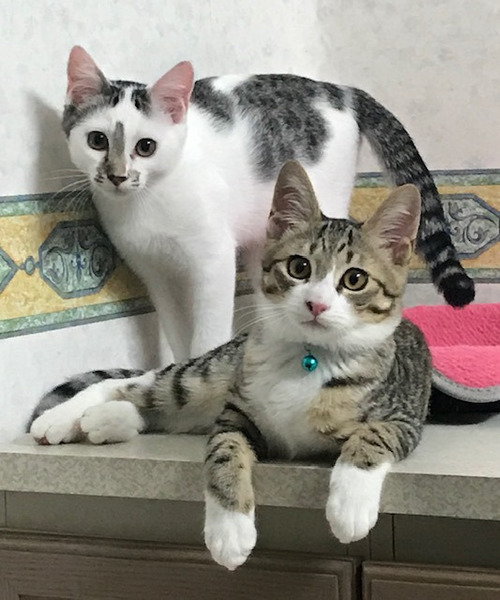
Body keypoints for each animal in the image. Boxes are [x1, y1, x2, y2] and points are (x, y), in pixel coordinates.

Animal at [30, 161, 432, 569]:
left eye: (355, 278)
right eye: (299, 267)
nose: (316, 304)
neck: (310, 355)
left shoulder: (402, 414)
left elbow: (373, 435)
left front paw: (349, 507)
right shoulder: (237, 414)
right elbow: (223, 449)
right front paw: (229, 530)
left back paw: (104, 421)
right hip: (213, 373)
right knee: (138, 384)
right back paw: (61, 419)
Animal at [61, 45, 473, 362]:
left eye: (146, 146)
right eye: (97, 140)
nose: (117, 175)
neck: (145, 203)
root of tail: (341, 90)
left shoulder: (213, 259)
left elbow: (207, 331)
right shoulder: (154, 272)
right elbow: (176, 331)